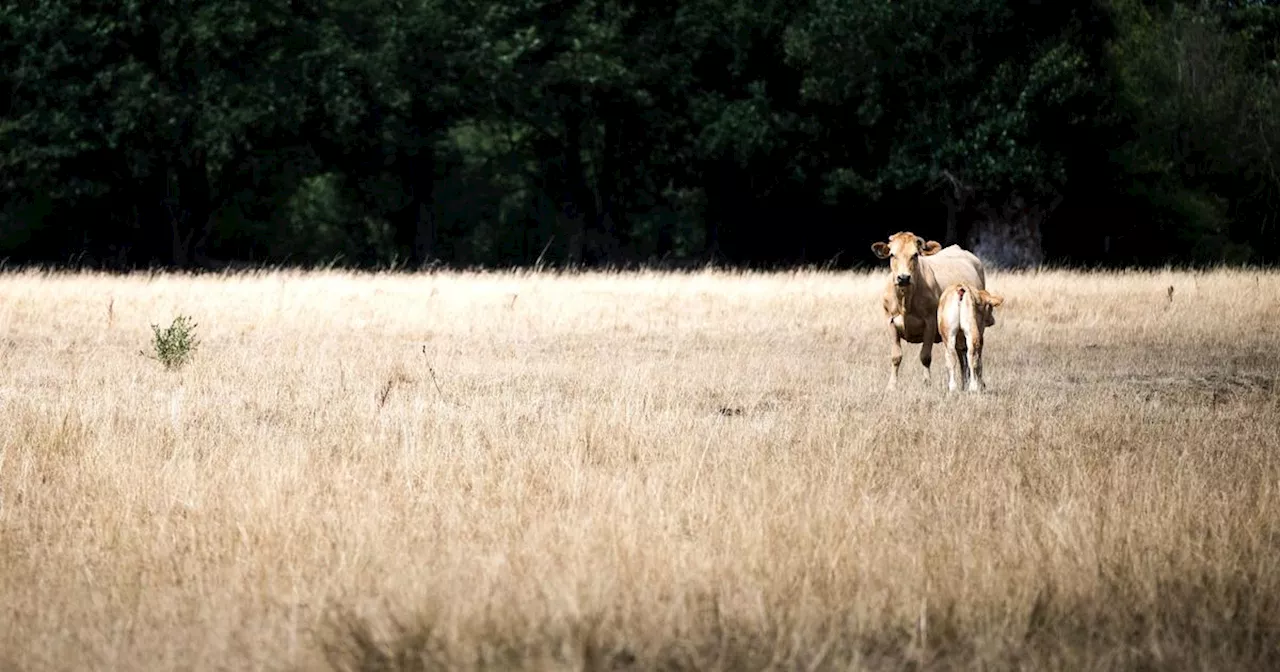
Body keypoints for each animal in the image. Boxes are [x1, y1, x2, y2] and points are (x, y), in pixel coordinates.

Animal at [870, 230, 988, 386]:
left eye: (915, 255)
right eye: (892, 255)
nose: (903, 277)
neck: (905, 300)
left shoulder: (930, 323)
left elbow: (925, 356)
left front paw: (927, 382)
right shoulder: (890, 321)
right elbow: (896, 356)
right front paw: (892, 385)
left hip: (977, 325)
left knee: (976, 351)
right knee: (961, 351)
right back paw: (964, 384)